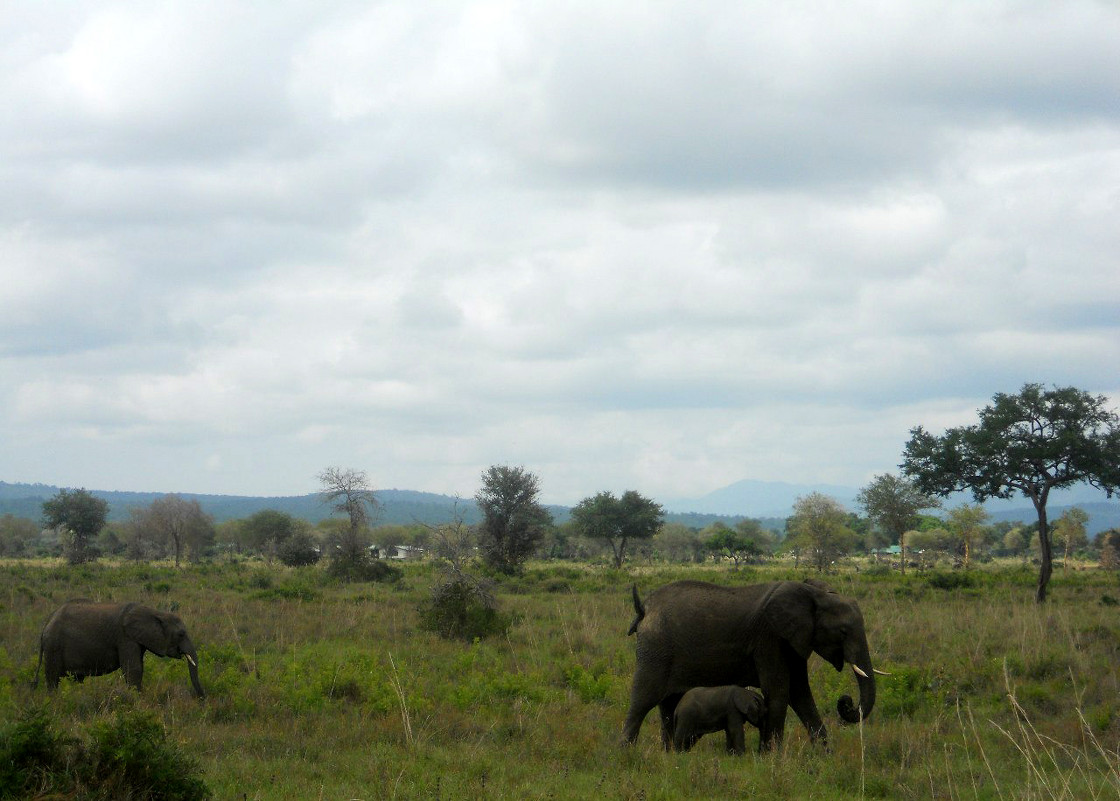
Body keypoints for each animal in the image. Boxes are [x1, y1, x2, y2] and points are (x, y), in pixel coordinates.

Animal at [34, 600, 206, 699]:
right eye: (181, 634)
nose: (202, 699)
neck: (155, 613)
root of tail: (45, 626)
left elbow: (138, 667)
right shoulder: (125, 637)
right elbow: (133, 669)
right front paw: (137, 701)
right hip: (53, 647)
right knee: (53, 678)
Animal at [627, 578, 878, 748]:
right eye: (843, 632)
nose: (846, 701)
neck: (813, 594)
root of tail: (645, 608)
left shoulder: (793, 640)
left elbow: (800, 694)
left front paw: (825, 756)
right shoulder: (770, 638)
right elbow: (779, 690)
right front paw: (770, 757)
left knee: (669, 705)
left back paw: (669, 756)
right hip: (655, 649)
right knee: (642, 701)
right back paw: (626, 753)